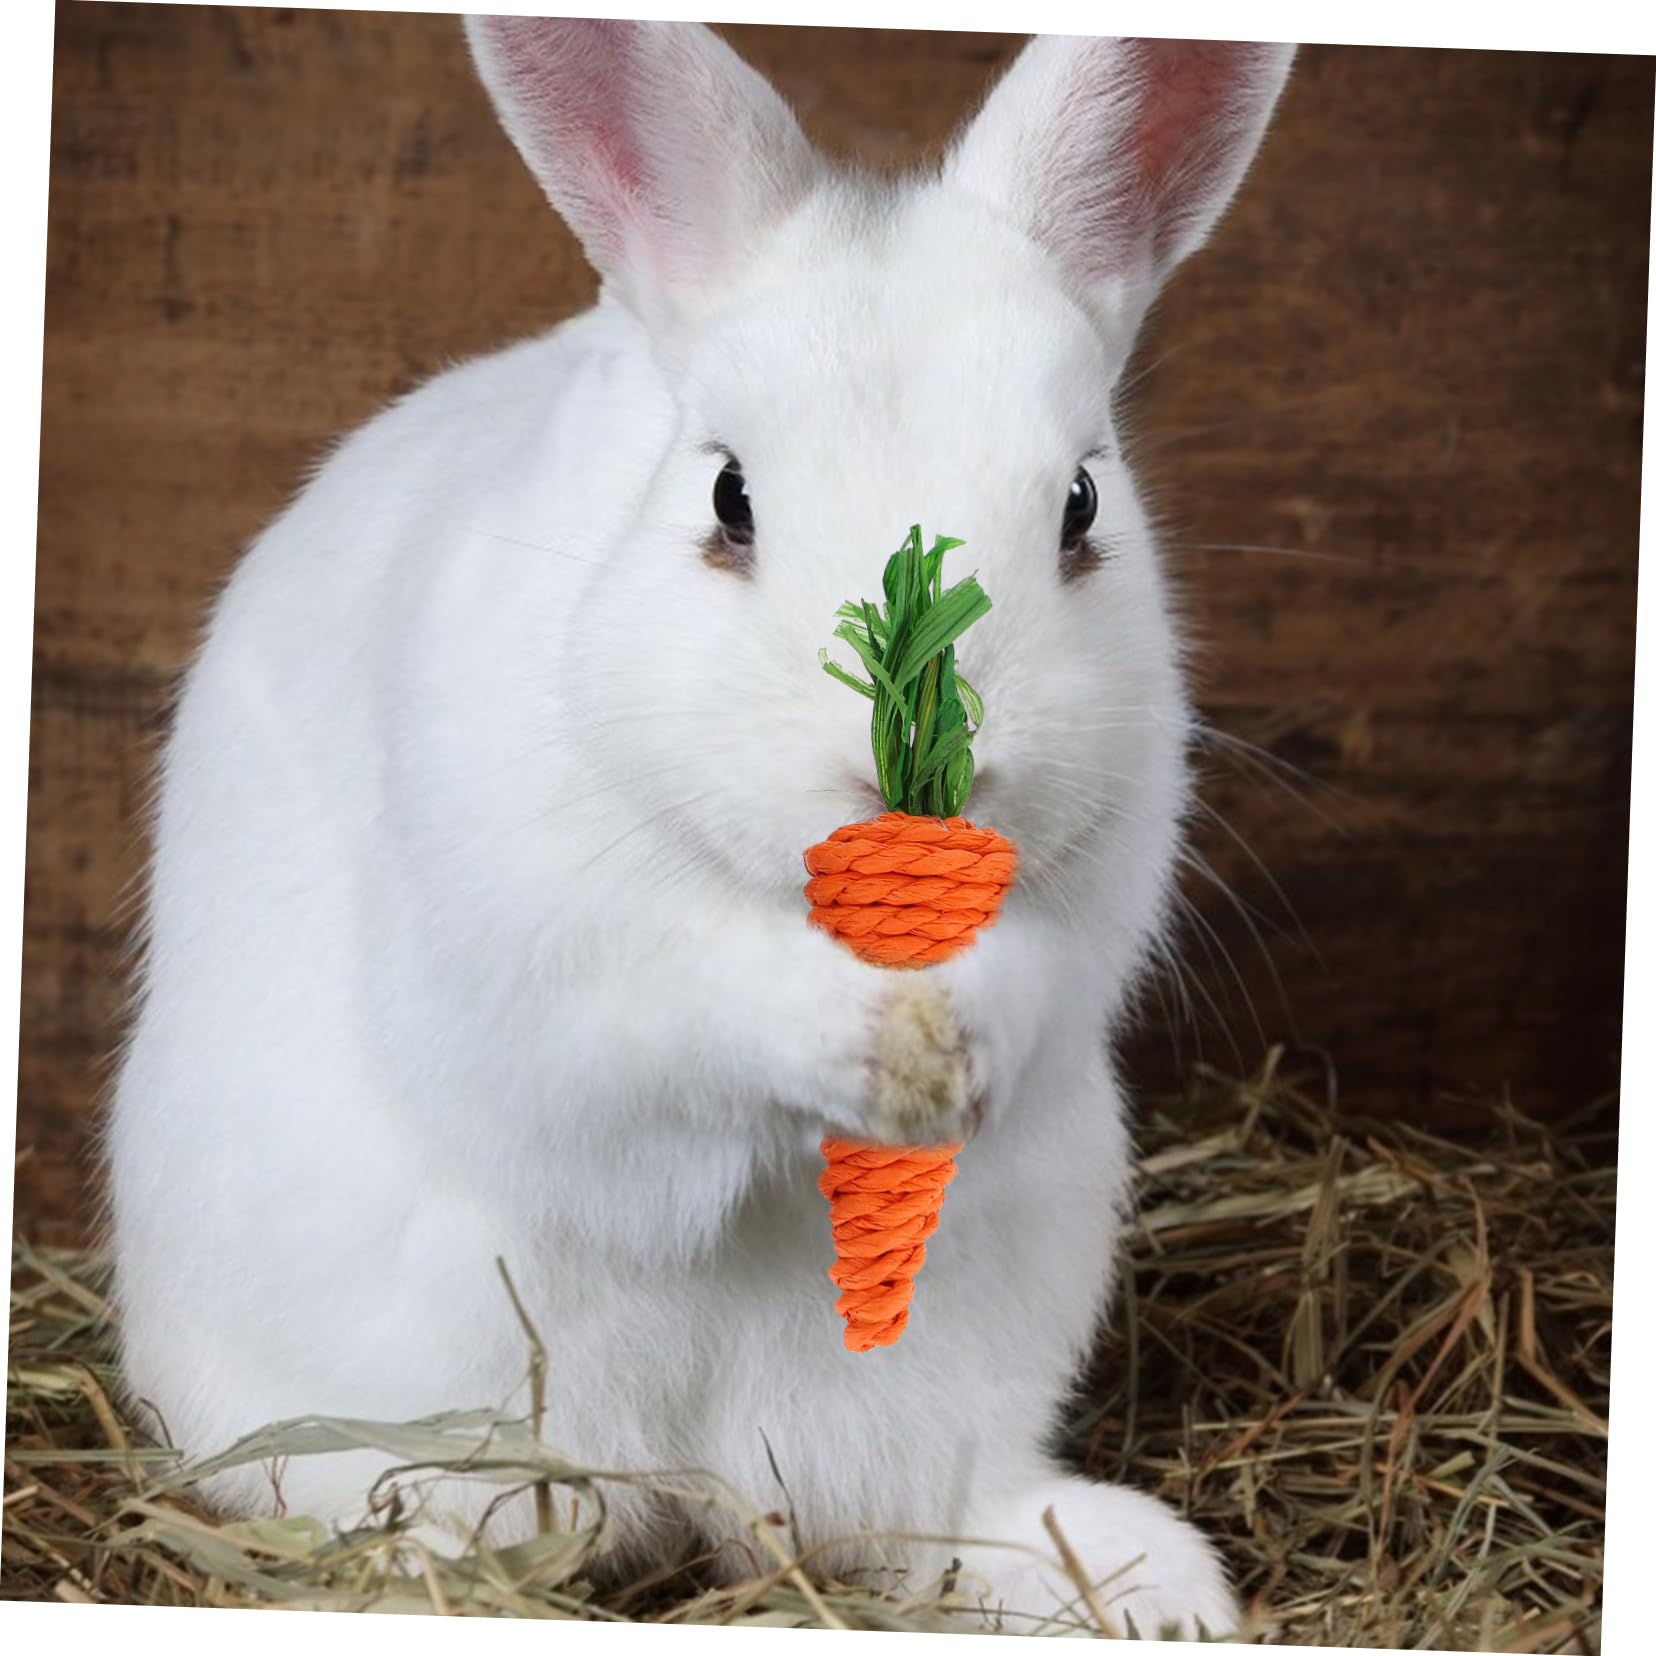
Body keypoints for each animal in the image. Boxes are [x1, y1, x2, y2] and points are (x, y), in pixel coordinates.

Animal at [105, 16, 1295, 1640]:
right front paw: (866, 1040)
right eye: (728, 498)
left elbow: (1035, 985)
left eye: (1080, 507)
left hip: (961, 1348)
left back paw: (1135, 1581)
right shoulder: (554, 981)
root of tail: (688, 1477)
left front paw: (950, 1041)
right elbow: (684, 1017)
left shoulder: (1090, 915)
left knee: (910, 1514)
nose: (916, 787)